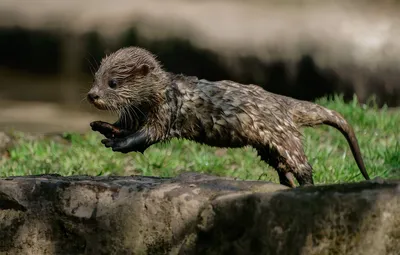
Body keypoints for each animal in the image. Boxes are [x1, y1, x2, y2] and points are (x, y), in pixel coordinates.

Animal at [86, 46, 370, 187]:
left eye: (112, 83)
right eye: (96, 77)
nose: (92, 95)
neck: (161, 93)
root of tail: (282, 102)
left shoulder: (166, 110)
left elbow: (149, 136)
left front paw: (118, 143)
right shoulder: (136, 114)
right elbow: (125, 126)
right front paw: (104, 127)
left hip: (285, 138)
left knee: (303, 165)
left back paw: (306, 186)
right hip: (267, 146)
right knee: (282, 165)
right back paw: (286, 183)